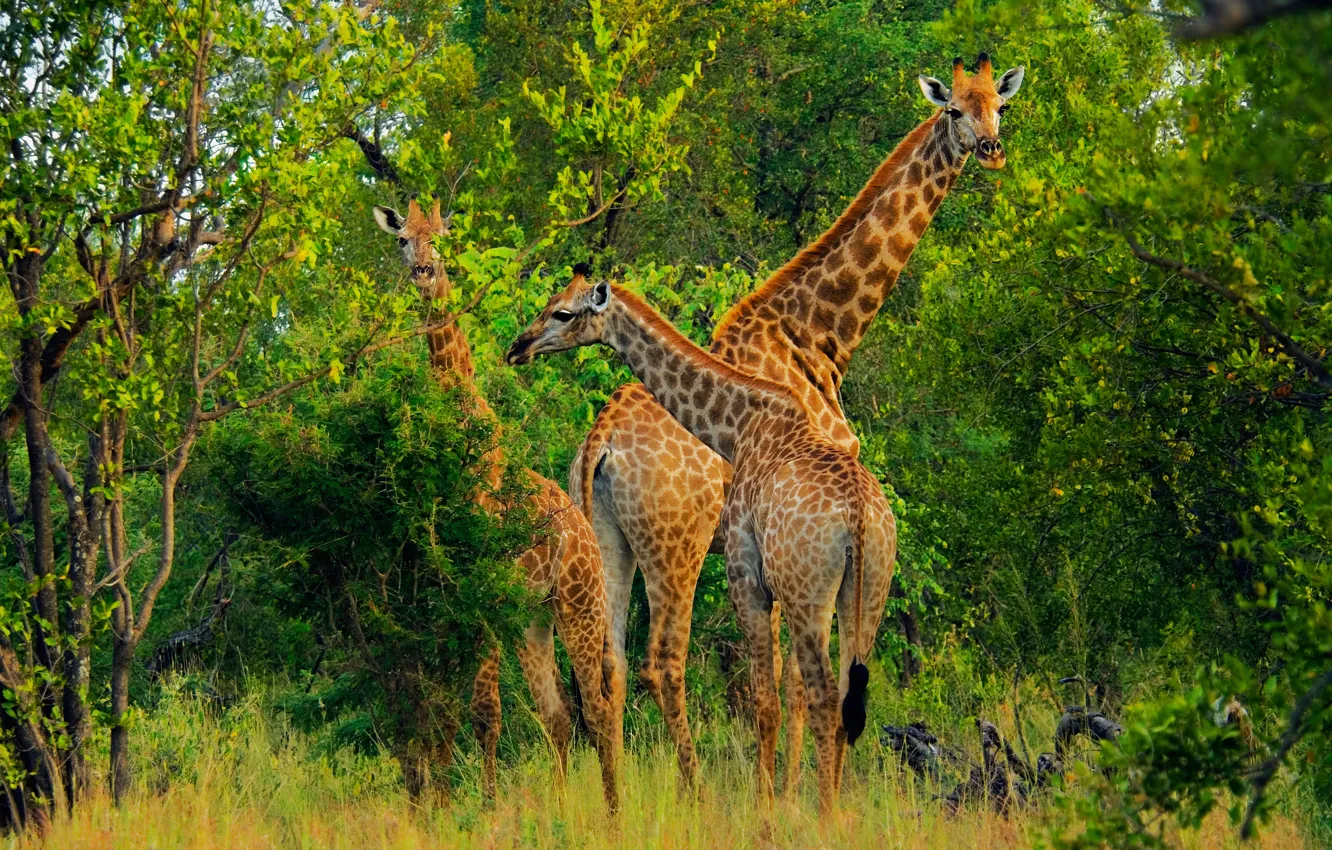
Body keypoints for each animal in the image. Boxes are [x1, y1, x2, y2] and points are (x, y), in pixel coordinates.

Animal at [373, 199, 618, 811]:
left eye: (441, 239)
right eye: (403, 240)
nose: (424, 273)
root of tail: (586, 539)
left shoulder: (480, 586)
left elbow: (485, 710)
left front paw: (482, 810)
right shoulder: (446, 591)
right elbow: (445, 708)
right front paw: (437, 805)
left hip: (578, 607)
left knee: (598, 710)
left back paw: (612, 814)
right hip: (533, 617)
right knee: (557, 715)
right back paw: (562, 808)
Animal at [507, 279, 898, 819]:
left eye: (563, 313)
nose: (517, 347)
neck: (741, 422)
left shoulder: (746, 573)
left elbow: (769, 695)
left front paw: (770, 808)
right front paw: (776, 801)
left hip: (793, 589)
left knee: (811, 694)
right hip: (862, 590)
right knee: (841, 696)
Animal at [566, 53, 1026, 788]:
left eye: (998, 107)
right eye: (954, 108)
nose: (990, 148)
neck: (819, 335)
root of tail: (599, 444)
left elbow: (780, 676)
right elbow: (797, 679)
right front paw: (790, 788)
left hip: (610, 539)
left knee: (606, 666)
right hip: (677, 549)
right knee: (663, 665)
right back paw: (694, 791)